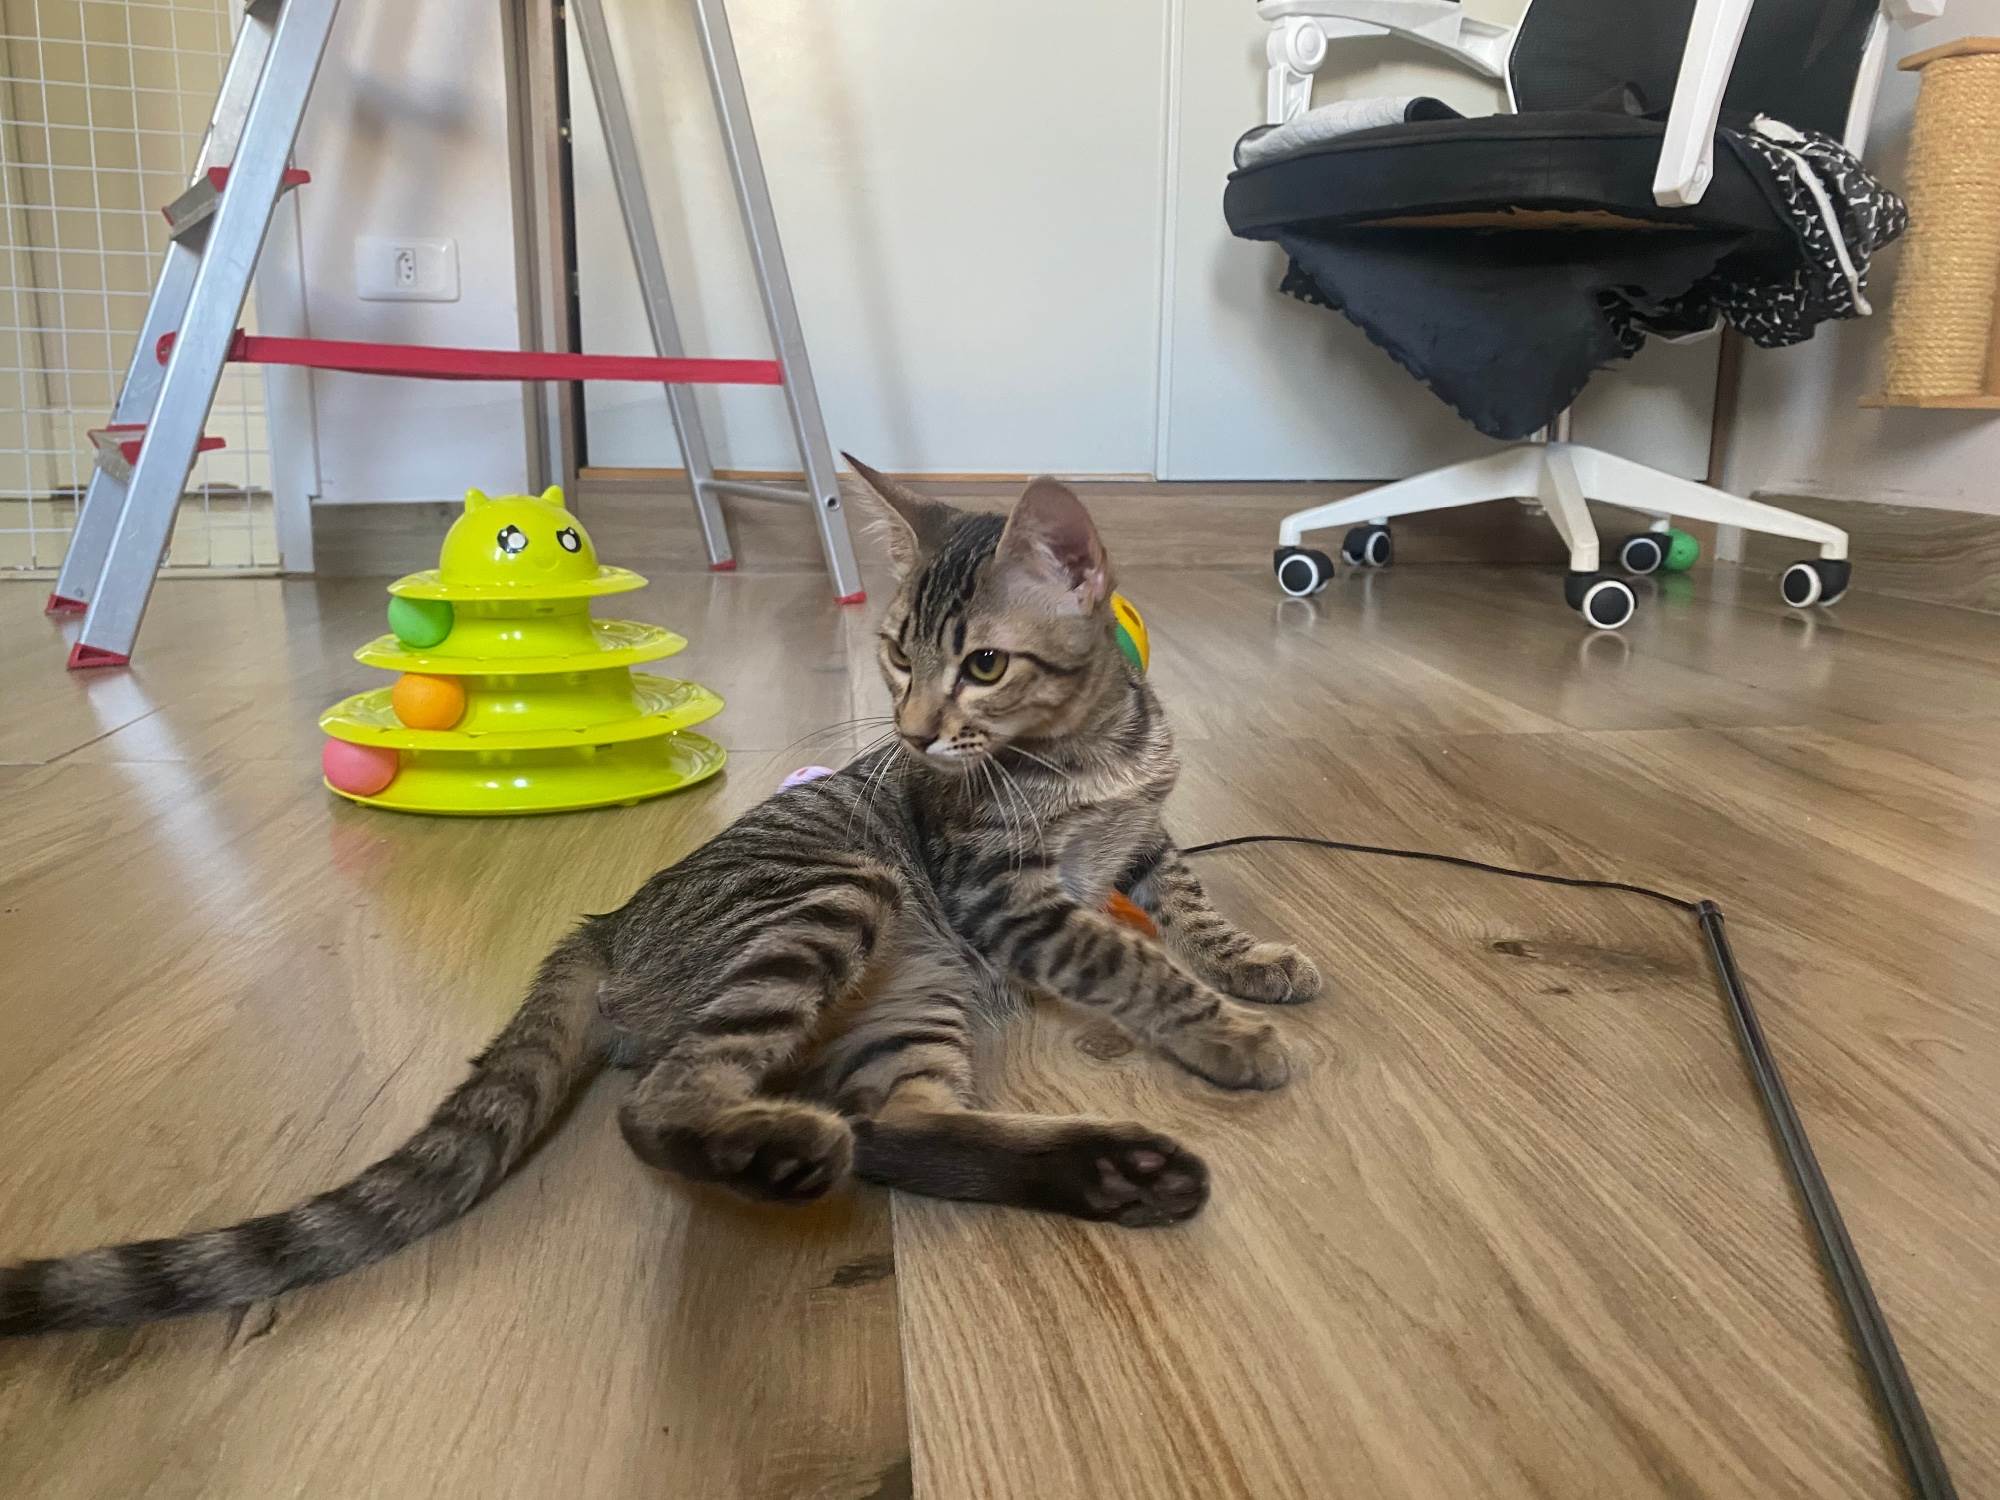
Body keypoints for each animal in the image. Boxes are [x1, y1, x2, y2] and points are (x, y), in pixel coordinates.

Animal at [0, 460, 1322, 1336]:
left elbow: (1186, 904)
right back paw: (784, 1148)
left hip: (913, 993)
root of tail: (603, 928)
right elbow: (1132, 962)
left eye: (984, 664)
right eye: (898, 653)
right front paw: (1230, 1034)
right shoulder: (1007, 900)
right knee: (671, 1106)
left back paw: (1116, 1174)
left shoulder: (1140, 840)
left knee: (898, 1127)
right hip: (836, 900)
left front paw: (1254, 964)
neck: (1088, 755)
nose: (910, 734)